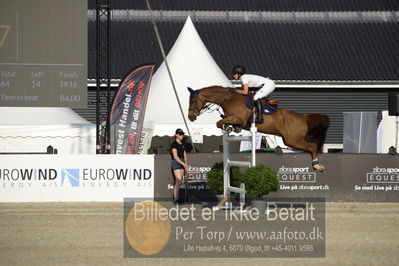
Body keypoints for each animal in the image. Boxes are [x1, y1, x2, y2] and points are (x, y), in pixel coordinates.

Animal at [188, 85, 332, 172]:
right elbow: (222, 122)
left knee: (312, 146)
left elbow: (219, 123)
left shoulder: (238, 118)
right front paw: (233, 129)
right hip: (290, 140)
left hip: (292, 140)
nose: (190, 117)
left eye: (193, 101)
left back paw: (317, 165)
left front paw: (229, 128)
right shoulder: (234, 118)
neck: (227, 99)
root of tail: (303, 117)